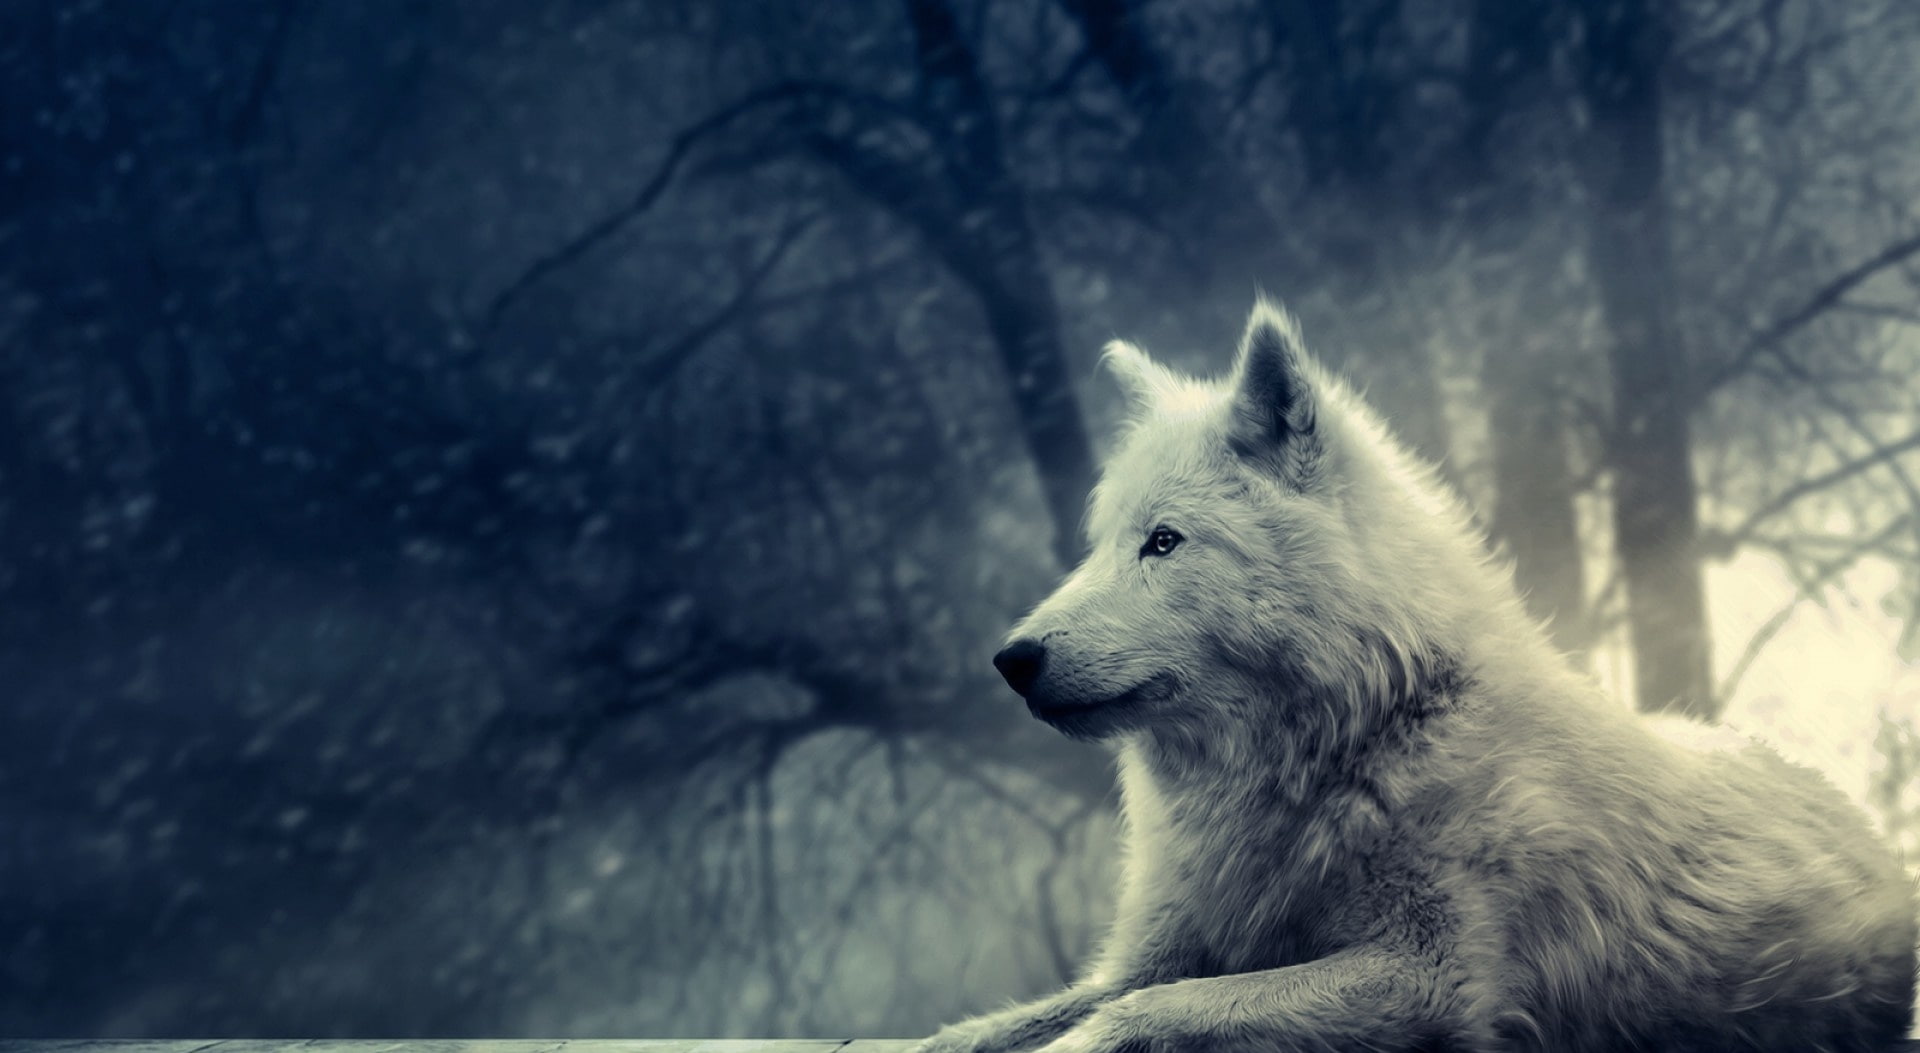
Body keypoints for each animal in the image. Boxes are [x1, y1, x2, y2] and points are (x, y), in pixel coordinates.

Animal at [919, 302, 1916, 1052]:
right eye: (1099, 546)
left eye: (1163, 541)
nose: (1012, 659)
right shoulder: (1154, 951)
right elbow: (986, 1027)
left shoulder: (1429, 978)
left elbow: (1145, 1014)